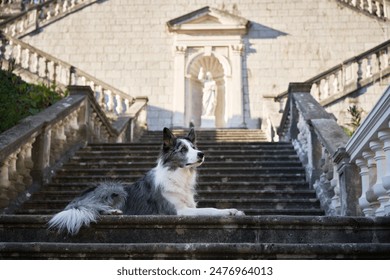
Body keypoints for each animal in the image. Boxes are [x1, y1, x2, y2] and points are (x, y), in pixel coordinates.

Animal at [48, 127, 244, 234]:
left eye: (194, 147)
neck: (178, 175)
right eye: (183, 149)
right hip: (114, 187)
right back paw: (112, 212)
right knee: (91, 208)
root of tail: (75, 201)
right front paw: (229, 212)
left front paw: (234, 211)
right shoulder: (178, 211)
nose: (202, 154)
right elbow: (210, 210)